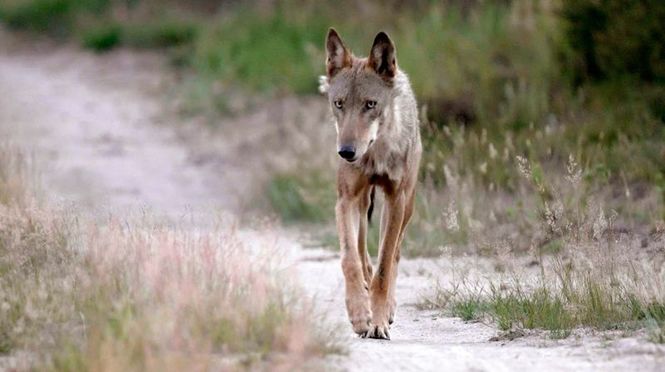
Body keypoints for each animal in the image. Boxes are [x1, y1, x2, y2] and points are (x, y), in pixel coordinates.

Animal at [320, 27, 420, 338]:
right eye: (339, 104)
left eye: (370, 104)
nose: (346, 152)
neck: (374, 155)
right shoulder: (345, 200)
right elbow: (349, 260)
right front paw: (359, 315)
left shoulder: (396, 199)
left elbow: (385, 265)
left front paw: (378, 321)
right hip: (363, 204)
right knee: (363, 251)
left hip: (405, 206)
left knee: (394, 254)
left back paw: (388, 308)